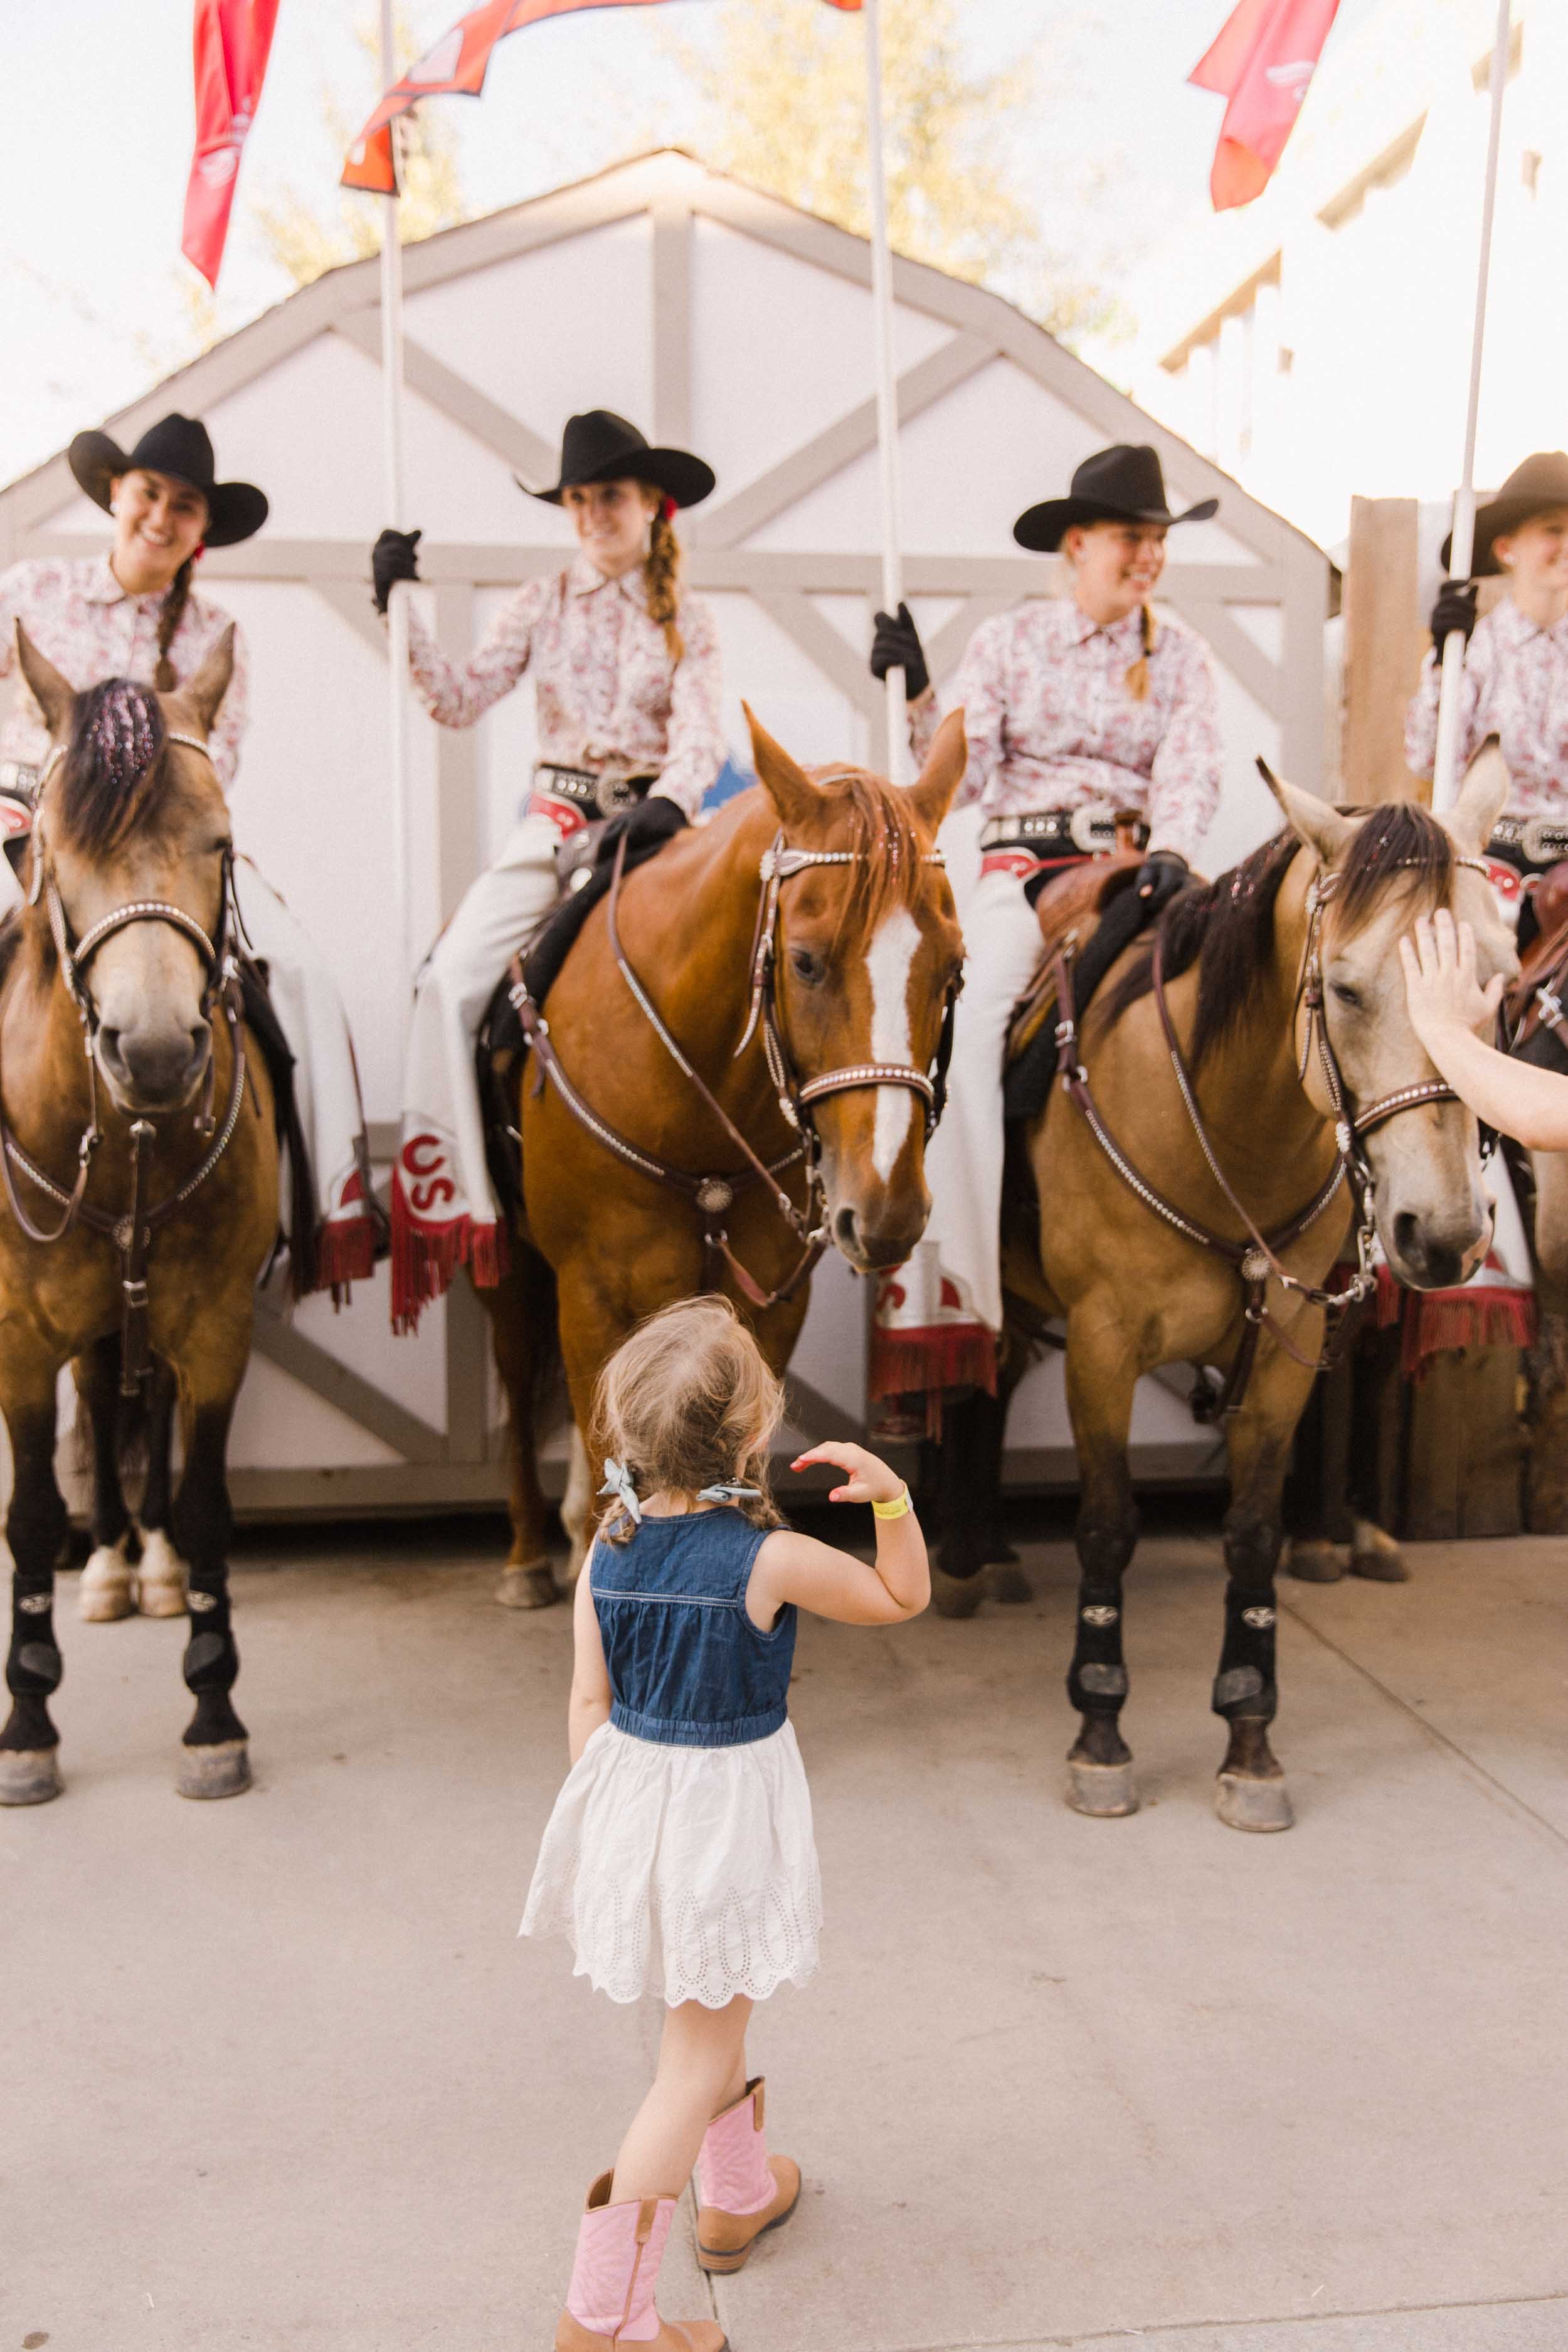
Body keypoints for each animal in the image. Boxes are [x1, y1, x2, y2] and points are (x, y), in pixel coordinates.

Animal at [486, 706, 968, 1609]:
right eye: (805, 960)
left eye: (953, 970)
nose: (885, 1210)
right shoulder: (592, 1294)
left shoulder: (770, 1303)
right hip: (509, 1258)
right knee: (514, 1363)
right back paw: (529, 1550)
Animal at [992, 753, 1523, 1835]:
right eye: (1346, 988)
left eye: (1495, 979)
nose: (1446, 1231)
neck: (1223, 1122)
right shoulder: (1104, 1344)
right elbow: (1106, 1520)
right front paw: (1100, 1726)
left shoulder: (1287, 1342)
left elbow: (1252, 1534)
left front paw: (1249, 1736)